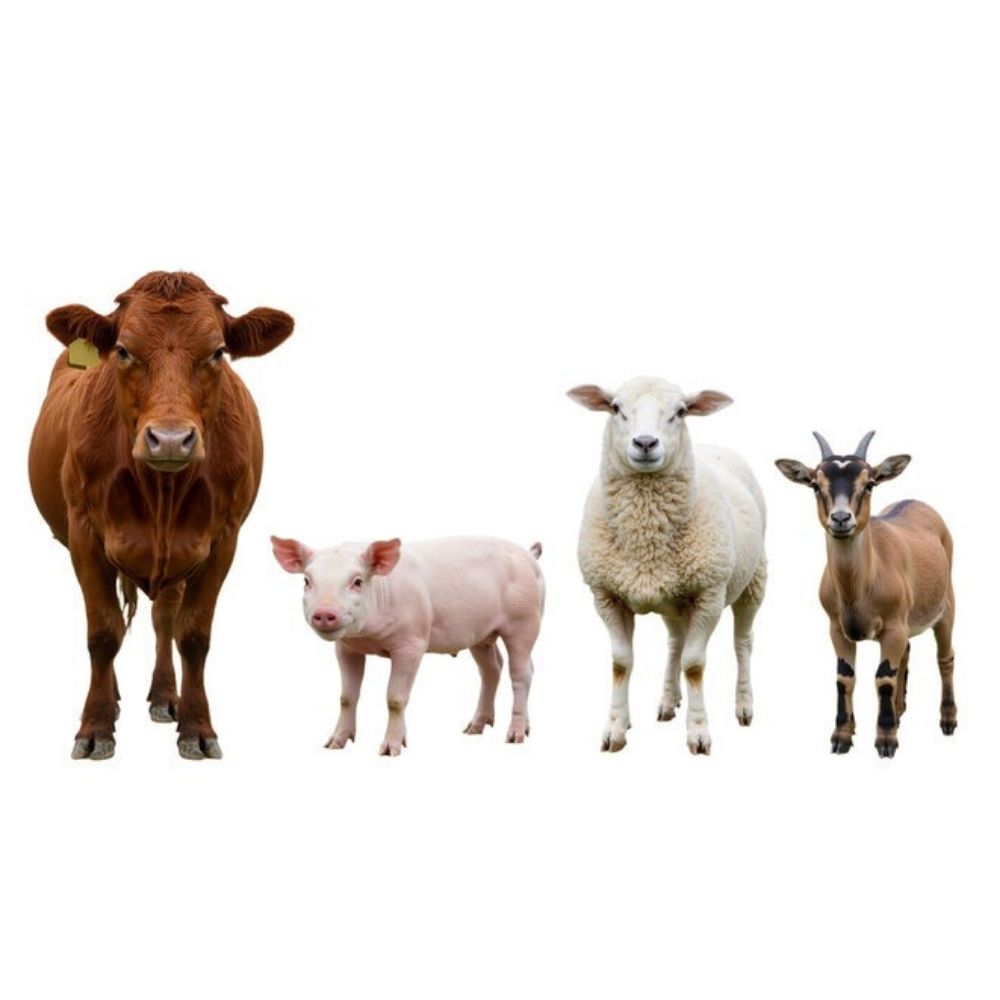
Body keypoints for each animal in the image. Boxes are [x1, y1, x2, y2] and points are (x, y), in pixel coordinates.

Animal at [270, 535, 545, 755]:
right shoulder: (347, 647)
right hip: (480, 634)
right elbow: (347, 697)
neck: (369, 636)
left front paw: (390, 750)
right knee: (492, 669)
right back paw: (474, 729)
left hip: (525, 621)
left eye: (357, 581)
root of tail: (529, 556)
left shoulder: (412, 643)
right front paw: (334, 744)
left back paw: (515, 737)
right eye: (307, 581)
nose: (325, 612)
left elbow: (395, 698)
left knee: (522, 673)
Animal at [568, 377, 767, 755]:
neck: (646, 541)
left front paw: (699, 733)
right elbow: (621, 663)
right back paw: (667, 701)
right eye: (615, 408)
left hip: (753, 581)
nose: (645, 443)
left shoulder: (708, 596)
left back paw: (745, 705)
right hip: (673, 602)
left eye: (681, 411)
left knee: (744, 642)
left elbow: (694, 665)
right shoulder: (606, 595)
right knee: (675, 643)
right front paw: (615, 728)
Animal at [775, 431, 956, 758]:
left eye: (870, 483)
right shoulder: (837, 628)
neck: (858, 591)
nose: (841, 518)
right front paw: (842, 736)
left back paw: (947, 720)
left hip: (946, 606)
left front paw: (885, 741)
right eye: (815, 485)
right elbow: (844, 678)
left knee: (945, 658)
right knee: (907, 652)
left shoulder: (893, 626)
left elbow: (883, 677)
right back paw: (899, 710)